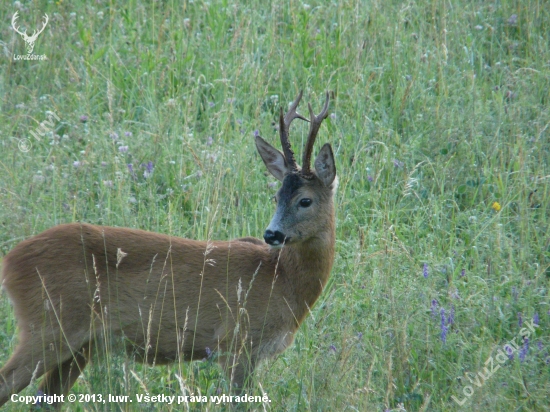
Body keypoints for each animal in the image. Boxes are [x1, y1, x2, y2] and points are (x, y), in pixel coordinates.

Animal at [0, 88, 336, 408]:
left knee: (45, 399)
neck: (282, 279)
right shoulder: (236, 342)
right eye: (277, 197)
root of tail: (11, 261)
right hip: (48, 325)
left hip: (80, 345)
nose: (271, 234)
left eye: (304, 200)